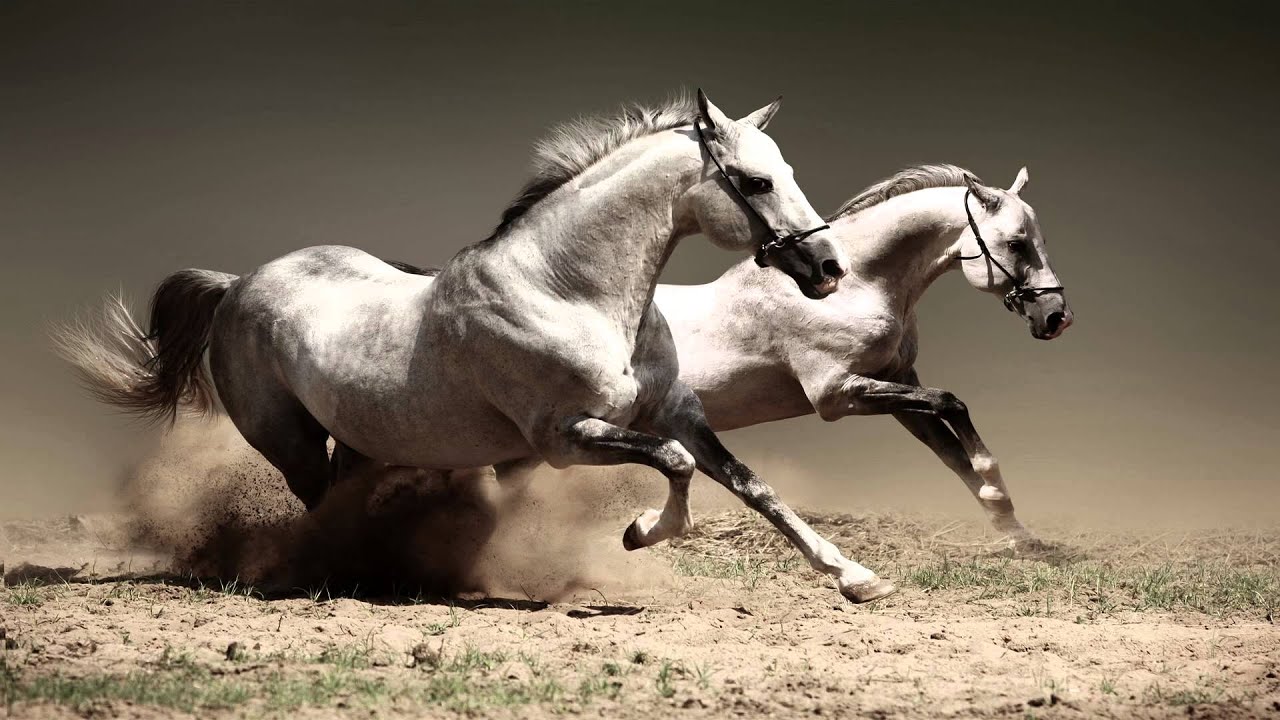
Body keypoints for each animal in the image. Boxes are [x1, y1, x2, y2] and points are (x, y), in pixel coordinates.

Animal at [58, 91, 901, 603]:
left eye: (784, 169)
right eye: (755, 182)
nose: (829, 268)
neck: (569, 291)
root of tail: (237, 284)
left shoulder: (676, 411)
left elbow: (754, 487)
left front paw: (857, 577)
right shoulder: (564, 437)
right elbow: (676, 467)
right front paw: (639, 534)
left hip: (362, 441)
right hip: (288, 440)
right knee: (317, 503)